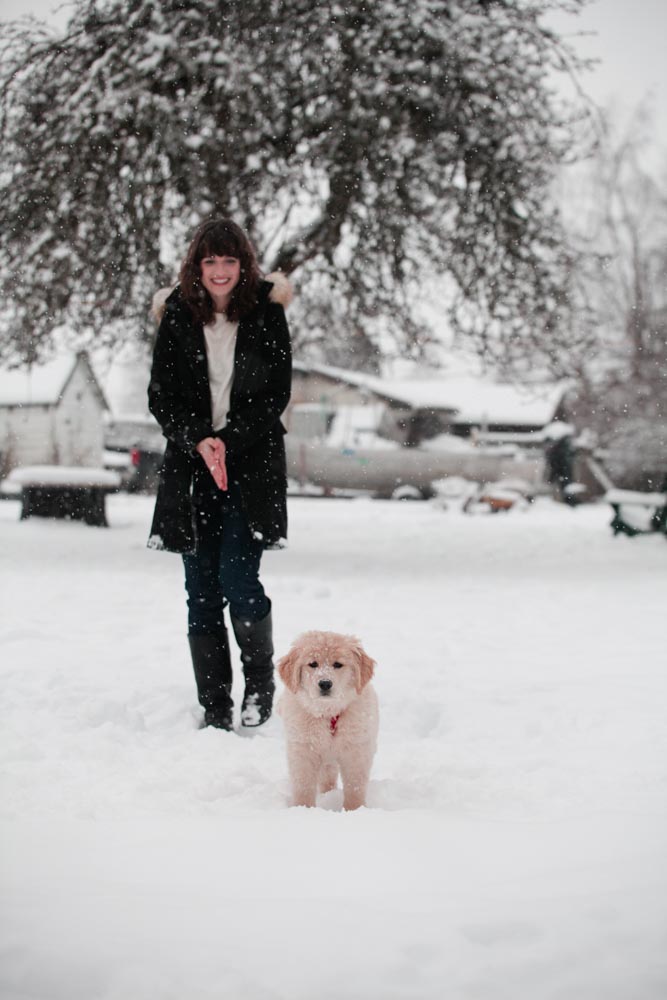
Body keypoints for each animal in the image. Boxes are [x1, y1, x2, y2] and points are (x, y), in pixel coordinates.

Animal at [276, 632, 378, 812]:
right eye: (312, 664)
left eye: (338, 664)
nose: (325, 683)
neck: (328, 714)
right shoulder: (303, 750)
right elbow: (303, 785)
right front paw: (303, 809)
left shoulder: (356, 751)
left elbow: (355, 786)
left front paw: (354, 810)